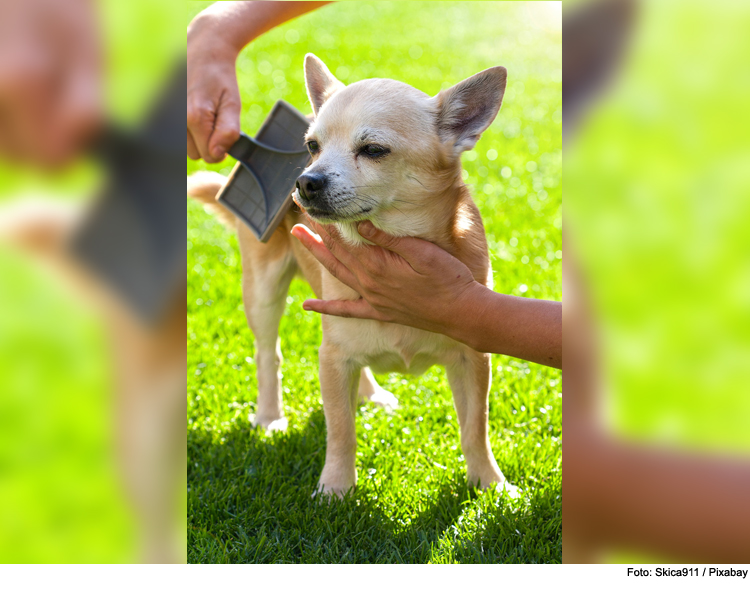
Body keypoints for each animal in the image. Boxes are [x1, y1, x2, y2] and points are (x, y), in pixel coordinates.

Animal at [189, 53, 516, 498]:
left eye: (374, 150)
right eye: (312, 147)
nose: (304, 180)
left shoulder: (472, 359)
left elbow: (474, 428)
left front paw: (489, 484)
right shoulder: (332, 359)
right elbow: (341, 430)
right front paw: (335, 490)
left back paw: (370, 395)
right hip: (263, 291)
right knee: (268, 353)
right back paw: (270, 416)